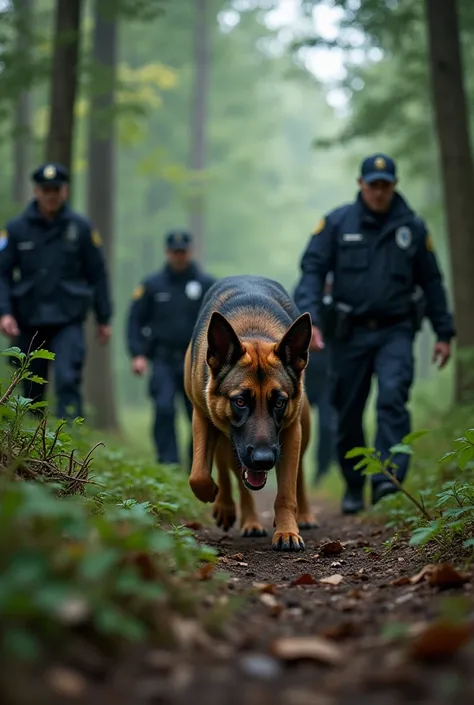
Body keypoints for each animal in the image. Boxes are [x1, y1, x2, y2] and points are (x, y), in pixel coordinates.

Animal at [185, 276, 318, 552]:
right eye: (240, 401)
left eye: (279, 402)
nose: (263, 460)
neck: (252, 329)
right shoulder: (201, 416)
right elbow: (199, 475)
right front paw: (213, 495)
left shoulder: (291, 433)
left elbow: (286, 492)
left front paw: (287, 530)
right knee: (230, 472)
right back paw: (237, 513)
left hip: (302, 431)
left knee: (299, 475)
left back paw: (303, 516)